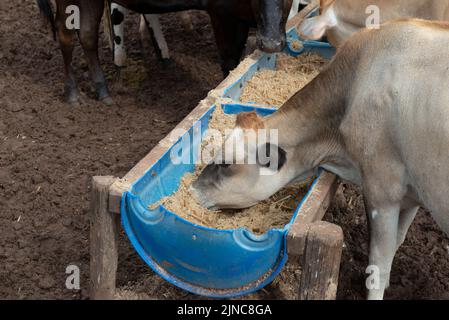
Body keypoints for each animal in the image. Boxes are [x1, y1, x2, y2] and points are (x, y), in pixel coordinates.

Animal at [192, 19, 448, 300]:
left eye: (226, 163)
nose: (193, 189)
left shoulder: (383, 191)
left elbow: (378, 266)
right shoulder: (413, 192)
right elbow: (396, 244)